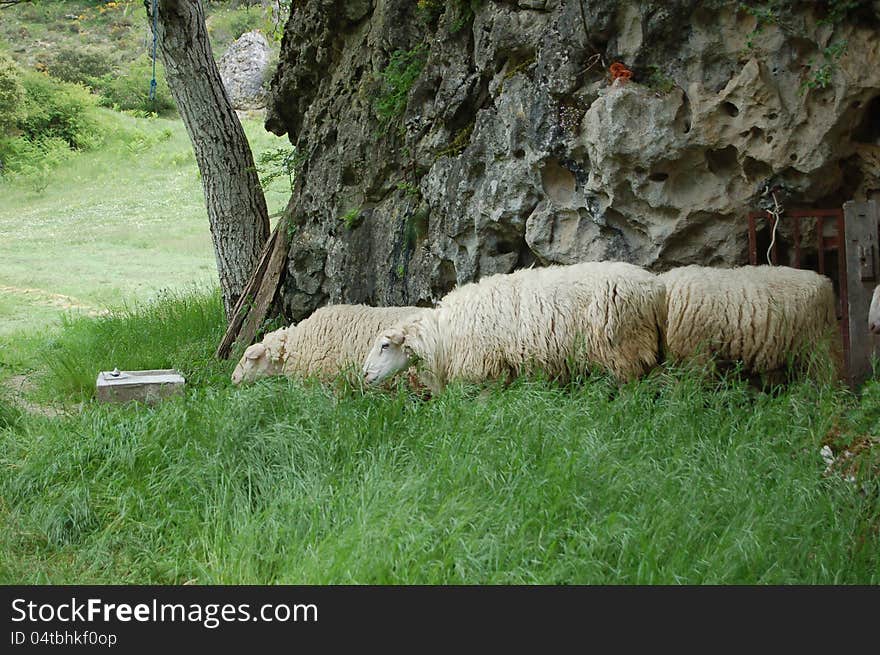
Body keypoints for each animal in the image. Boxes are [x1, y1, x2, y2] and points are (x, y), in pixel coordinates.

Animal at [360, 262, 664, 394]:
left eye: (384, 346)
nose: (363, 374)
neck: (442, 335)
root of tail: (653, 286)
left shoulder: (483, 368)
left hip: (622, 347)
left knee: (630, 387)